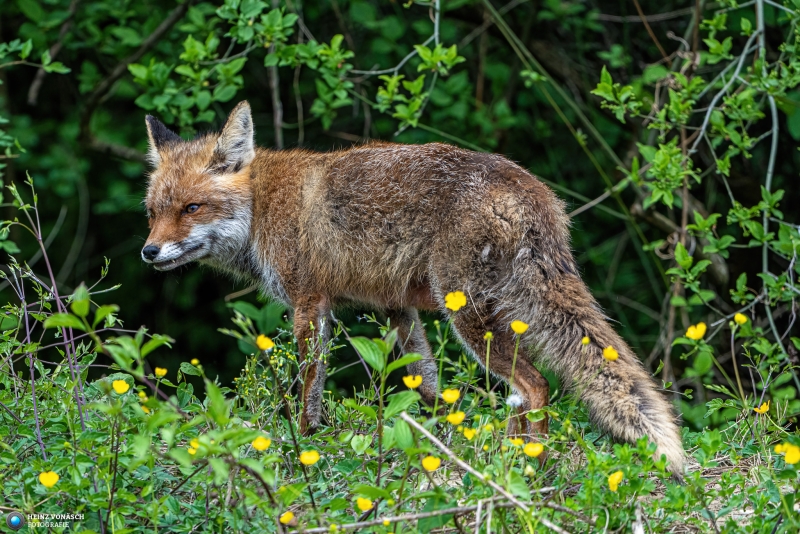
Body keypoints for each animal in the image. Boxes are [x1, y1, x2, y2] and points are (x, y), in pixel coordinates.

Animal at [140, 101, 685, 475]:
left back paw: (528, 461)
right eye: (152, 212)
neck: (262, 205)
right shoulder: (396, 309)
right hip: (496, 315)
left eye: (191, 208)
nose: (149, 252)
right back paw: (508, 459)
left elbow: (309, 385)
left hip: (468, 314)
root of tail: (529, 189)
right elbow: (427, 388)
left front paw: (307, 443)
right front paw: (440, 445)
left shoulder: (310, 302)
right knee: (524, 390)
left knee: (536, 386)